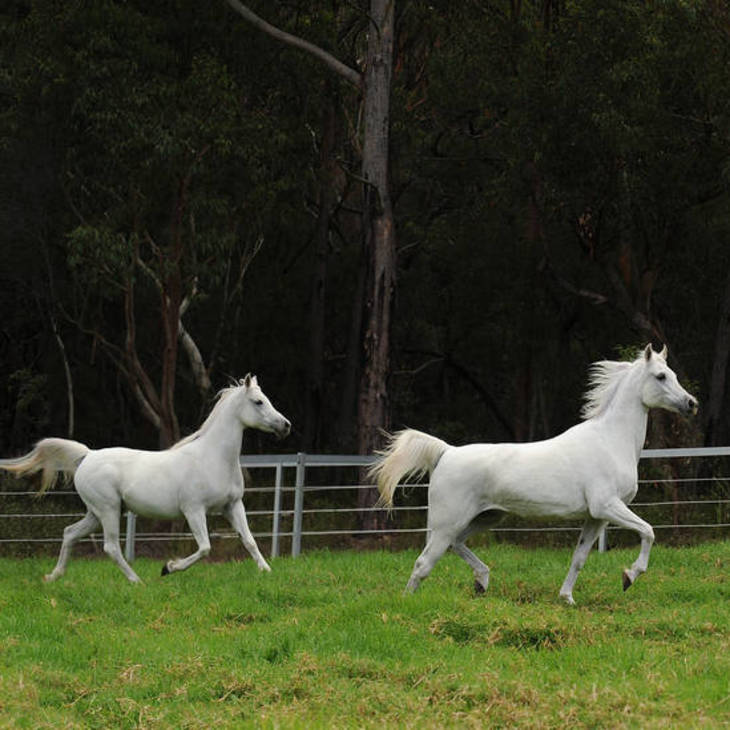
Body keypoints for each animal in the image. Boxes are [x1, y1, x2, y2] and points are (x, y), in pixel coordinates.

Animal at [0, 374, 291, 583]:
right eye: (258, 401)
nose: (285, 425)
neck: (213, 458)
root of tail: (88, 455)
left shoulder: (232, 506)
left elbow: (249, 541)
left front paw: (267, 571)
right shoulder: (194, 510)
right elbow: (205, 547)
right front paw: (168, 567)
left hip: (97, 512)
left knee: (70, 533)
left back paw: (53, 576)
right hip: (108, 510)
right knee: (111, 547)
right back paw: (137, 581)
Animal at [371, 345, 698, 605]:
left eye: (673, 374)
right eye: (661, 376)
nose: (692, 404)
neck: (610, 441)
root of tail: (446, 452)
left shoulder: (596, 517)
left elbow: (579, 557)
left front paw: (567, 599)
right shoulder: (607, 505)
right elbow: (648, 531)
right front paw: (629, 576)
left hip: (486, 517)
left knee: (456, 545)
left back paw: (482, 581)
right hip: (446, 523)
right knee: (424, 563)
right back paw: (407, 604)